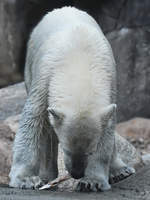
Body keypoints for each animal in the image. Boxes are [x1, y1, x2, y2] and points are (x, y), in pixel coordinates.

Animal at [9, 6, 135, 191]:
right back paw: (47, 175)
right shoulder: (45, 76)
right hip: (29, 67)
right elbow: (33, 120)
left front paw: (92, 182)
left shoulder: (110, 81)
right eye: (66, 149)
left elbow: (107, 129)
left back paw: (120, 171)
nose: (76, 174)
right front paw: (26, 180)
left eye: (90, 151)